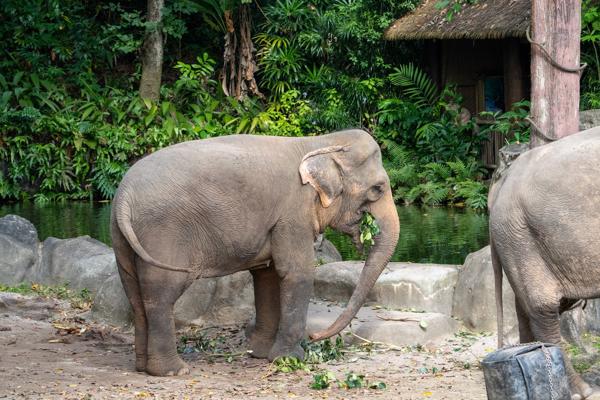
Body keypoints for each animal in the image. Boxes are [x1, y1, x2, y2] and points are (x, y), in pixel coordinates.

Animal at [110, 129, 400, 377]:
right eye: (378, 189)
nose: (314, 337)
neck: (321, 142)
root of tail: (124, 194)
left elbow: (268, 276)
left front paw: (260, 354)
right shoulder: (293, 215)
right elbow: (297, 273)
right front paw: (290, 359)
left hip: (123, 238)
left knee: (136, 296)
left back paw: (142, 367)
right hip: (162, 234)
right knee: (161, 296)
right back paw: (173, 371)